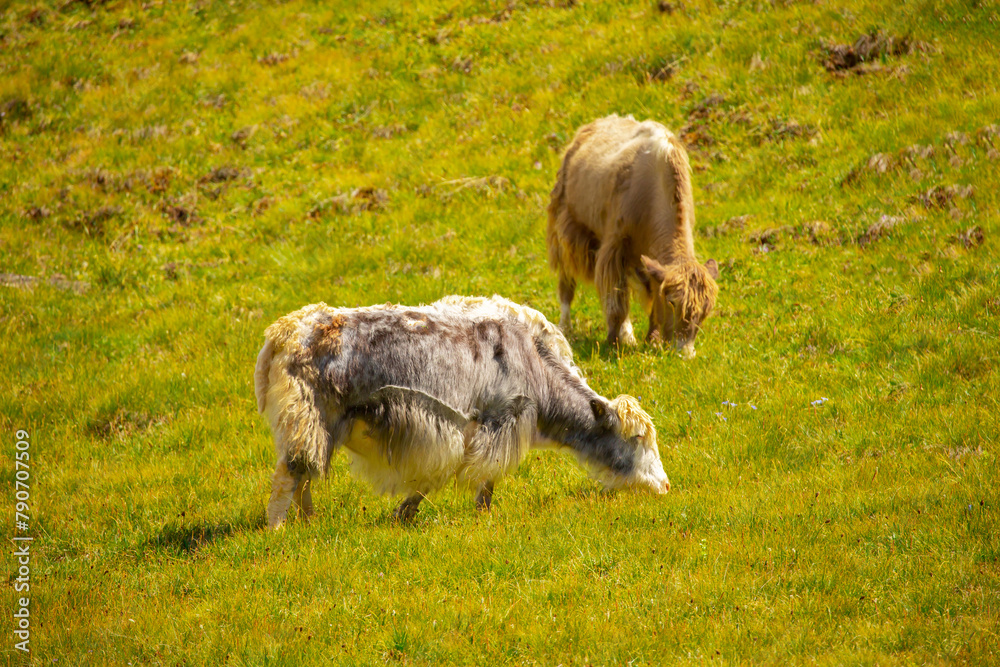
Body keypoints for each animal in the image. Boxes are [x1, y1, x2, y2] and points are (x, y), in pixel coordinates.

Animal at [254, 296, 669, 528]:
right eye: (635, 438)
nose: (665, 485)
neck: (534, 362)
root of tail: (281, 335)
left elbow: (438, 476)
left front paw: (403, 514)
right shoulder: (498, 422)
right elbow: (482, 476)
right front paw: (480, 517)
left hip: (321, 429)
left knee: (305, 477)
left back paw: (310, 523)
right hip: (307, 419)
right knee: (289, 476)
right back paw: (278, 531)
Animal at [547, 114, 720, 358]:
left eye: (705, 311)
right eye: (673, 302)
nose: (684, 353)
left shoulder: (648, 261)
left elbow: (648, 298)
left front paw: (652, 340)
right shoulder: (614, 246)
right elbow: (615, 303)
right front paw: (611, 343)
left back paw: (628, 335)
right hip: (565, 229)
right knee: (567, 283)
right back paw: (565, 328)